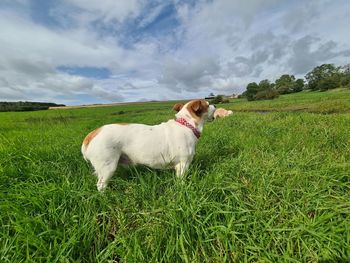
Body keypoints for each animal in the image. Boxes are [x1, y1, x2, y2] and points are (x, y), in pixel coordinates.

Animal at [81, 100, 216, 191]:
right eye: (208, 104)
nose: (215, 105)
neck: (186, 125)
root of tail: (92, 134)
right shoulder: (182, 164)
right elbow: (181, 180)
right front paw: (183, 189)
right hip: (108, 167)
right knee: (100, 185)